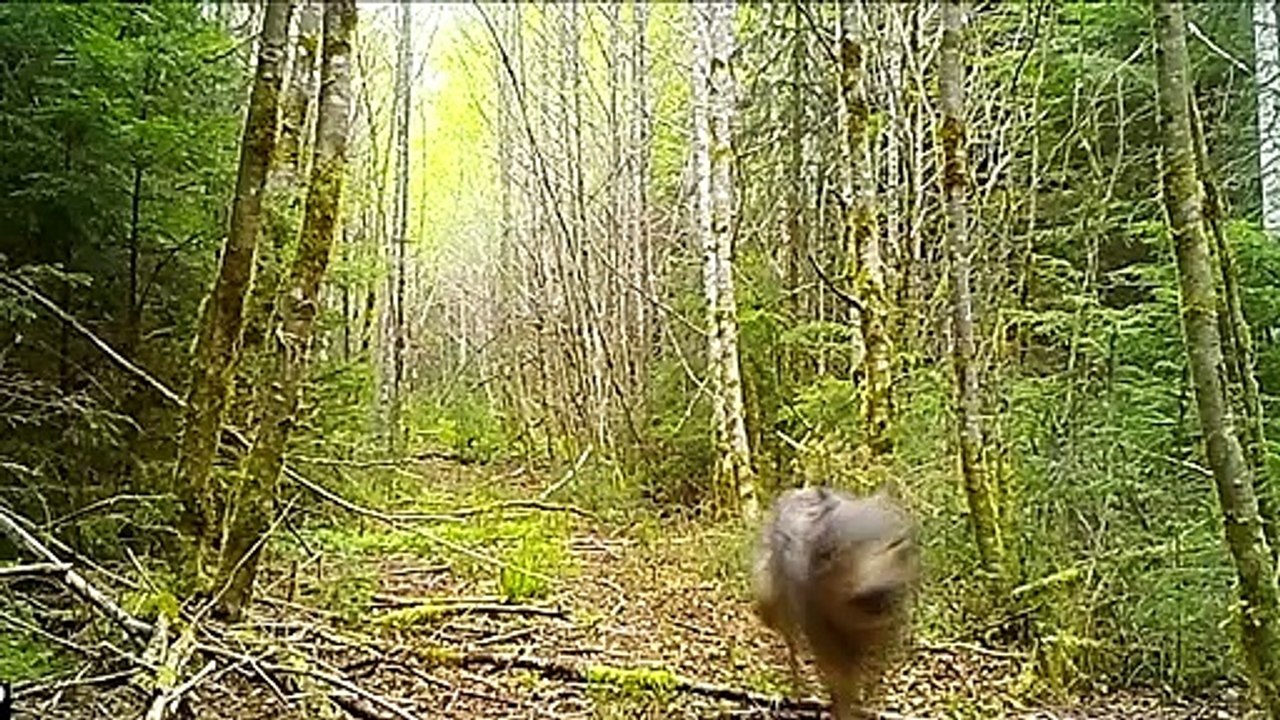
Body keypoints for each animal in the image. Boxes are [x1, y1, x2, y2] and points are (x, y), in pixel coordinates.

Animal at [751, 486, 921, 719]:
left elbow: (870, 683)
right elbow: (841, 684)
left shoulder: (884, 638)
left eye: (895, 544)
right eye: (837, 551)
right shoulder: (822, 634)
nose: (875, 592)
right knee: (792, 648)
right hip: (776, 603)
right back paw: (797, 694)